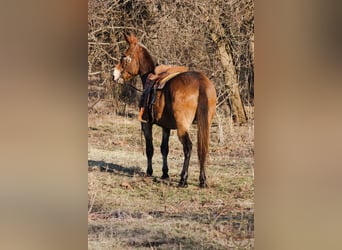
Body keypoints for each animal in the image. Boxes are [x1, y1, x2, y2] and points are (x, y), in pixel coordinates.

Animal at [114, 32, 216, 188]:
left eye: (124, 56)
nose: (114, 74)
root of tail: (201, 82)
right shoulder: (166, 127)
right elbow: (164, 149)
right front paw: (165, 173)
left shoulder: (146, 124)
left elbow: (150, 149)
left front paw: (149, 172)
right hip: (205, 124)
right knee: (202, 148)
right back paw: (202, 180)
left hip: (182, 126)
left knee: (188, 147)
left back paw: (183, 179)